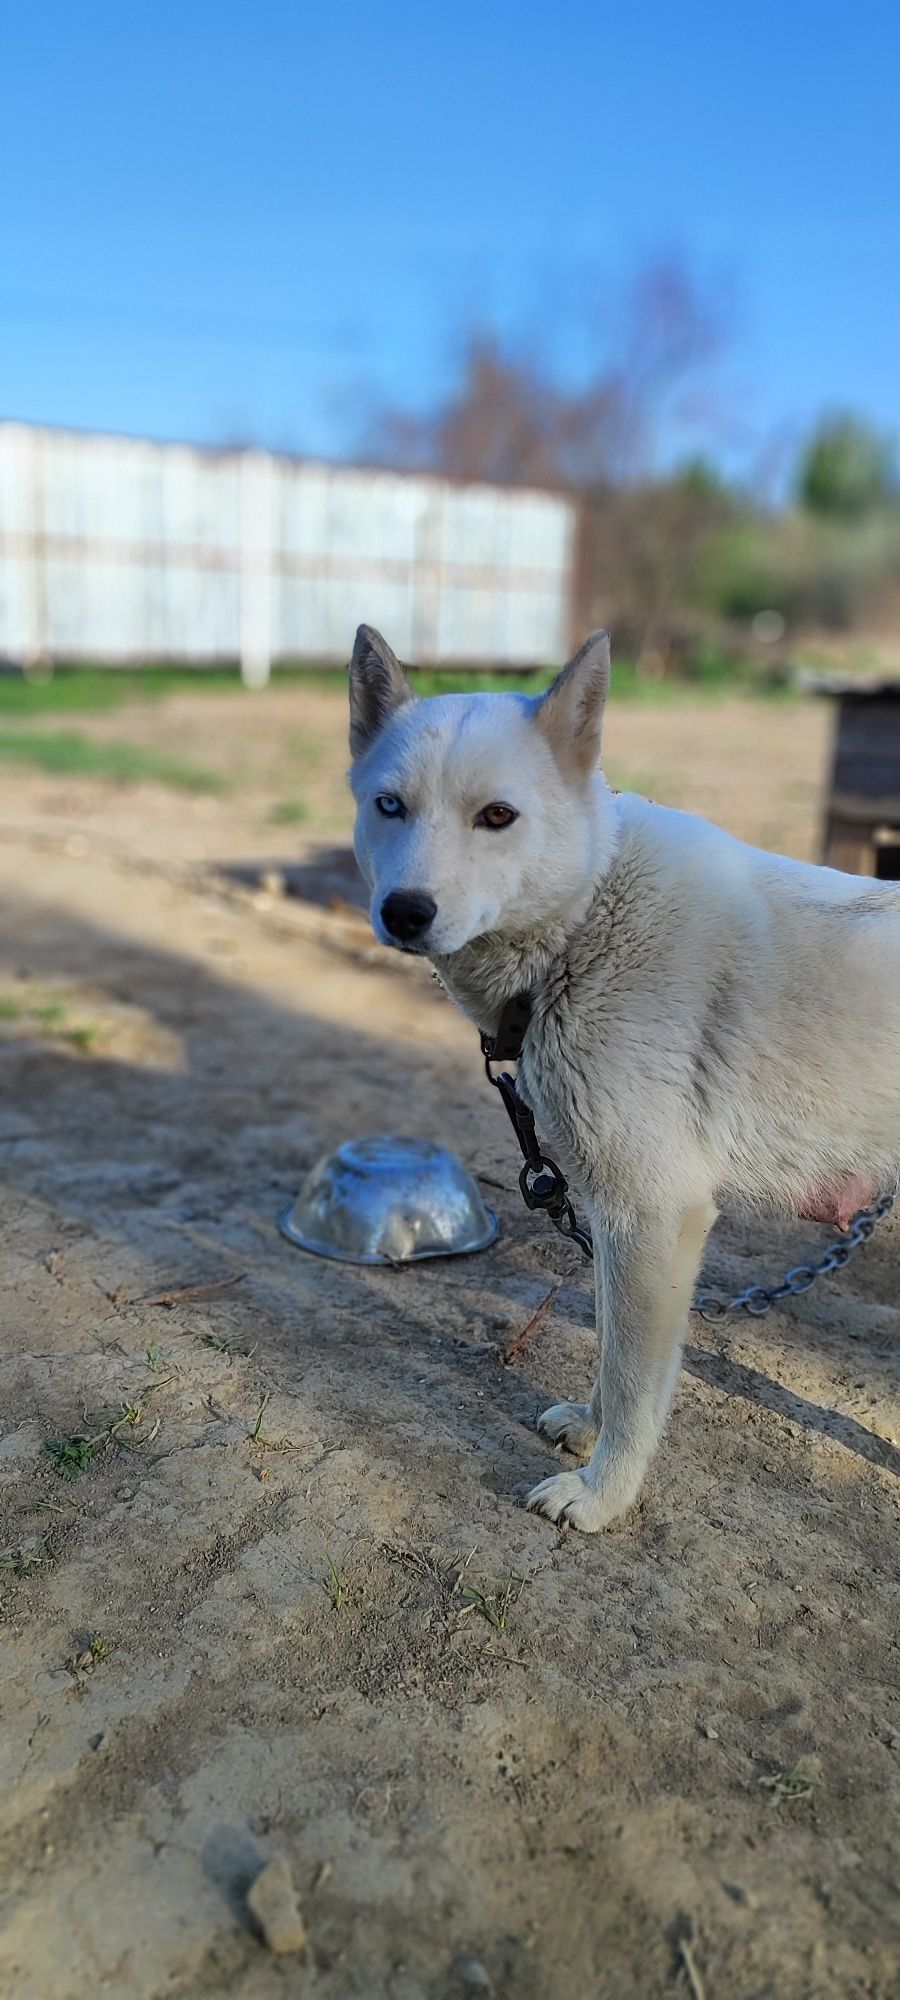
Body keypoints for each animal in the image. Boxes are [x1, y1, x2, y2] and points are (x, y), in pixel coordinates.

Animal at [346, 624, 900, 1528]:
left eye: (496, 817)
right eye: (389, 806)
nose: (405, 913)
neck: (586, 919)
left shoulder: (656, 1214)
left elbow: (637, 1381)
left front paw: (602, 1495)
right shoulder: (614, 1218)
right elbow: (611, 1350)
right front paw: (588, 1430)